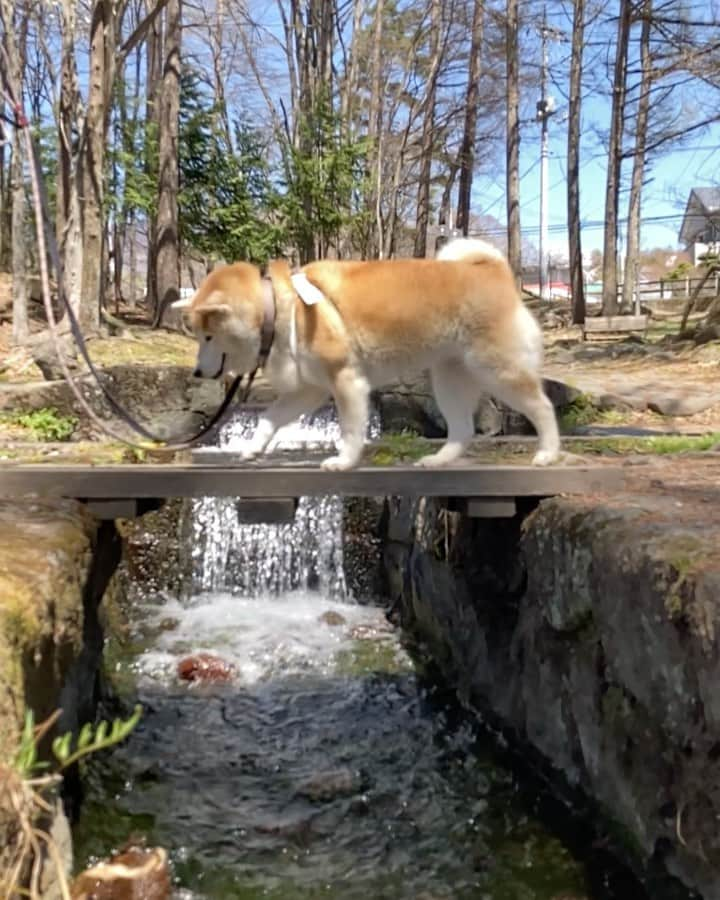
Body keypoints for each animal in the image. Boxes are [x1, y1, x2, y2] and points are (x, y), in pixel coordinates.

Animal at [173, 239, 564, 472]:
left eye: (208, 336)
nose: (196, 373)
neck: (281, 308)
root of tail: (494, 271)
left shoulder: (345, 380)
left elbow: (349, 429)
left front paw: (344, 461)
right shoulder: (310, 389)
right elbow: (269, 418)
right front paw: (253, 448)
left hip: (497, 370)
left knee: (543, 407)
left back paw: (547, 452)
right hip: (449, 378)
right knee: (463, 429)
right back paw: (438, 459)